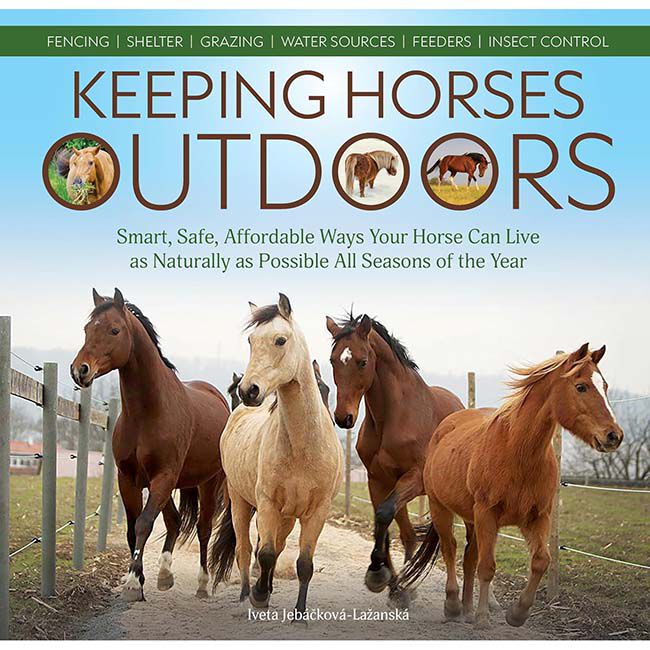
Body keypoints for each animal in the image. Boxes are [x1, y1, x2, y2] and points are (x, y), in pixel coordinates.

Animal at [71, 288, 230, 601]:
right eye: (86, 329)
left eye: (114, 330)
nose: (79, 370)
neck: (147, 413)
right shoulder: (129, 479)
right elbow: (134, 529)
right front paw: (139, 579)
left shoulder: (162, 476)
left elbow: (144, 523)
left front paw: (134, 583)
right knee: (175, 520)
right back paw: (165, 574)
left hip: (209, 483)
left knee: (204, 528)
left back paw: (202, 584)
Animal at [210, 294, 342, 616]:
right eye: (251, 340)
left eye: (280, 340)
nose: (249, 390)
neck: (303, 448)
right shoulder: (267, 504)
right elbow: (265, 553)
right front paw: (259, 596)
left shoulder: (316, 512)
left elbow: (303, 563)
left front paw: (300, 614)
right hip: (240, 502)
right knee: (245, 550)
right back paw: (247, 593)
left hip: (287, 516)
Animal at [326, 313, 464, 605]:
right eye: (333, 360)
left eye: (362, 361)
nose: (344, 417)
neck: (394, 416)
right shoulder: (379, 480)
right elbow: (383, 521)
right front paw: (389, 582)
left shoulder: (414, 478)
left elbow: (383, 514)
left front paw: (379, 572)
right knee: (410, 536)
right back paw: (406, 582)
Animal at [397, 344, 623, 628]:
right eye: (581, 386)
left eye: (604, 385)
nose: (614, 435)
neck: (517, 453)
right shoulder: (487, 514)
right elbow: (487, 567)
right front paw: (483, 617)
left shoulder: (537, 518)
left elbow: (540, 561)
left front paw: (517, 613)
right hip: (442, 509)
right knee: (450, 549)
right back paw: (453, 605)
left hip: (472, 520)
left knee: (469, 557)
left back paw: (467, 608)